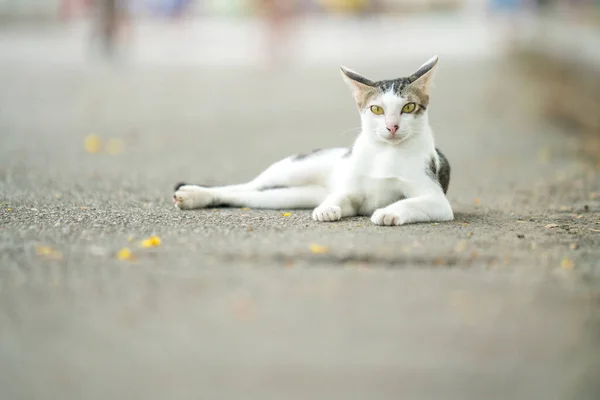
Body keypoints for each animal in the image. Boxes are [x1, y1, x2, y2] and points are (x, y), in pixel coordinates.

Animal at [171, 55, 452, 225]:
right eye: (376, 109)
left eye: (408, 108)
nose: (392, 126)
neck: (385, 153)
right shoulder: (351, 192)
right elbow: (339, 197)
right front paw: (327, 209)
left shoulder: (437, 200)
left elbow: (411, 202)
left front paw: (389, 211)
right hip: (290, 170)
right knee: (244, 187)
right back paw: (192, 193)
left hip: (287, 197)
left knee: (245, 195)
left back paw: (194, 197)